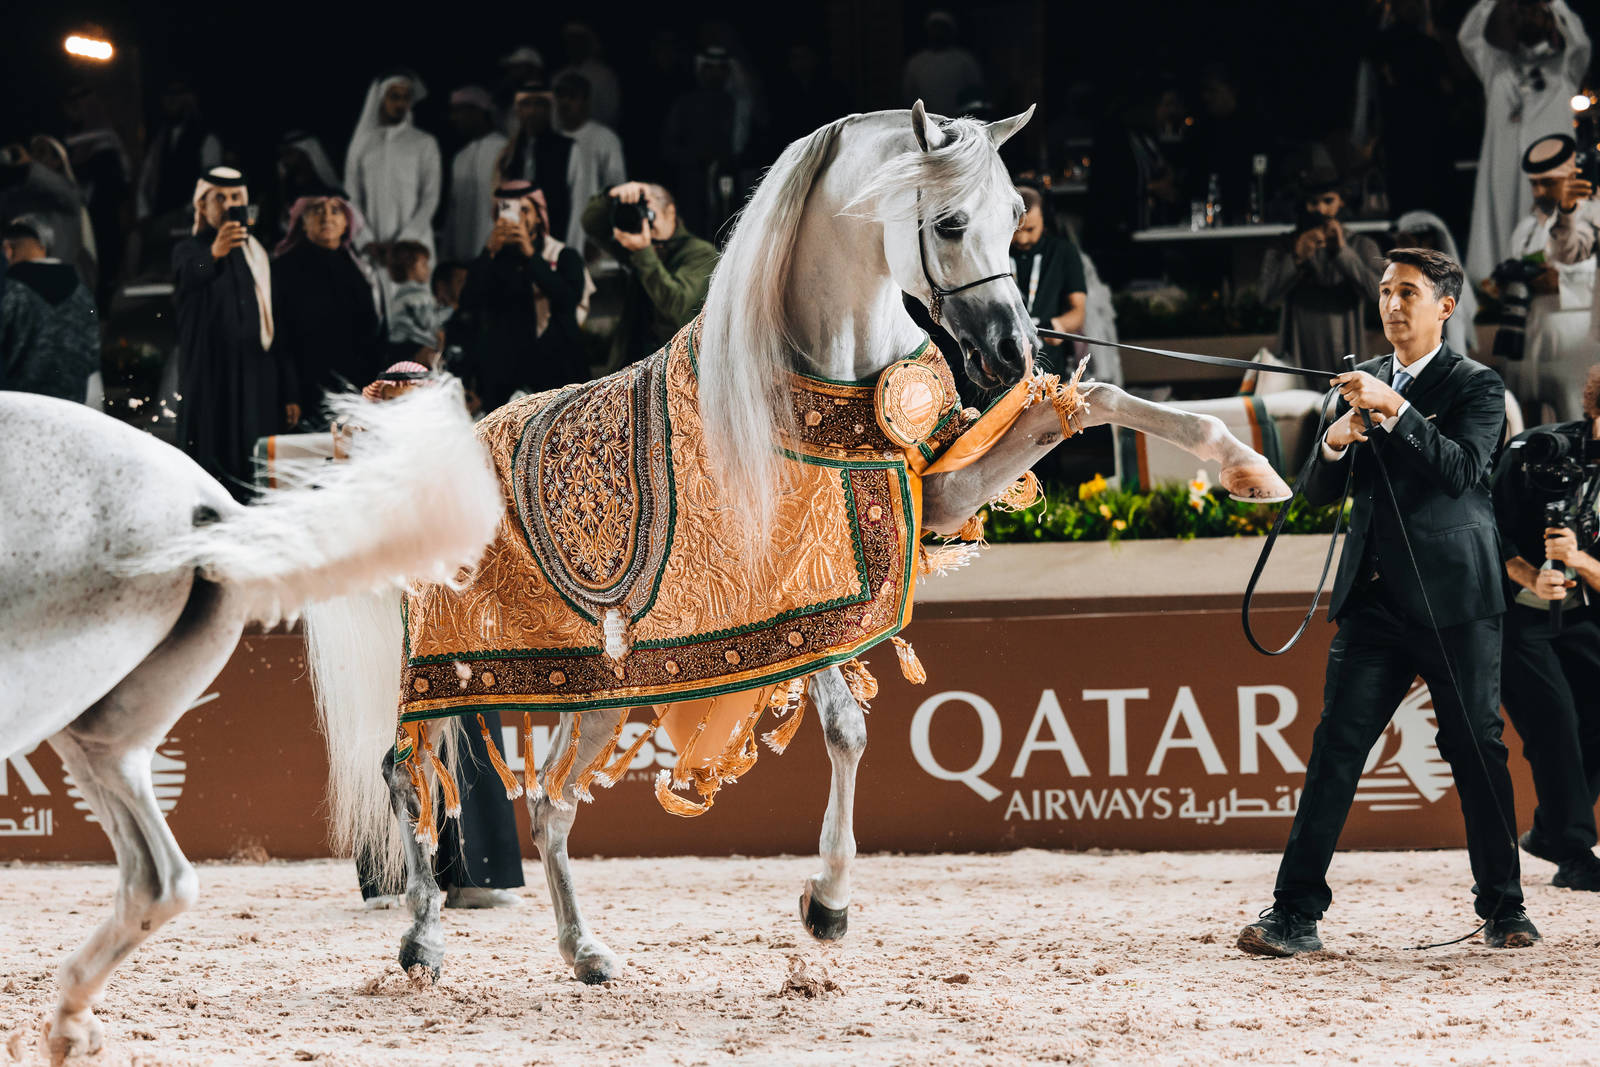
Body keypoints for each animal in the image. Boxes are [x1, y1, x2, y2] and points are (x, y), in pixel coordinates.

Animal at [304, 103, 1292, 987]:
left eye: (1017, 213)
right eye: (949, 221)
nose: (1012, 351)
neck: (821, 371)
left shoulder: (929, 497)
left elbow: (1093, 405)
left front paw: (1248, 469)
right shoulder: (793, 588)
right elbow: (847, 726)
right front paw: (828, 903)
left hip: (594, 689)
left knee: (549, 802)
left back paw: (585, 952)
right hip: (446, 673)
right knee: (405, 775)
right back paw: (423, 940)